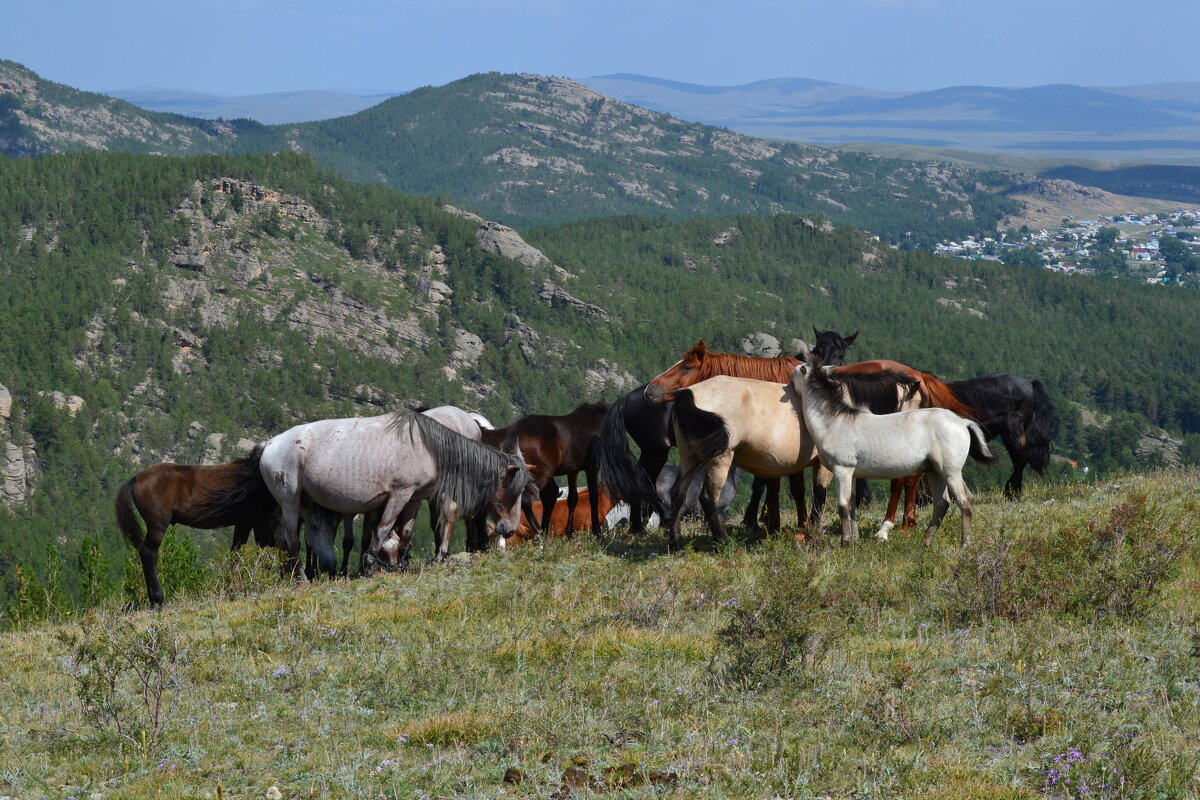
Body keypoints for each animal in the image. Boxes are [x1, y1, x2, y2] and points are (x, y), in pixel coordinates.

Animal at [115, 443, 276, 606]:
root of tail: (137, 479)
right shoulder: (249, 521)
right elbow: (244, 552)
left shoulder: (254, 522)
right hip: (157, 526)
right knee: (149, 553)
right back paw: (158, 599)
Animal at [480, 402, 609, 542]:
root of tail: (515, 432)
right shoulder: (592, 466)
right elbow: (593, 496)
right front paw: (597, 532)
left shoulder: (572, 470)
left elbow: (572, 498)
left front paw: (570, 533)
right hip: (540, 473)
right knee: (527, 500)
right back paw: (538, 532)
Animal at [792, 359, 998, 546]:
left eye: (796, 371)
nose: (789, 380)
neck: (835, 422)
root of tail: (962, 422)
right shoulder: (851, 473)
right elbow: (851, 506)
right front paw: (854, 539)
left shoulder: (842, 470)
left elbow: (843, 506)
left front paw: (845, 541)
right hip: (935, 472)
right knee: (942, 504)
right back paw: (926, 542)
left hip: (951, 472)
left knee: (965, 501)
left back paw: (965, 544)